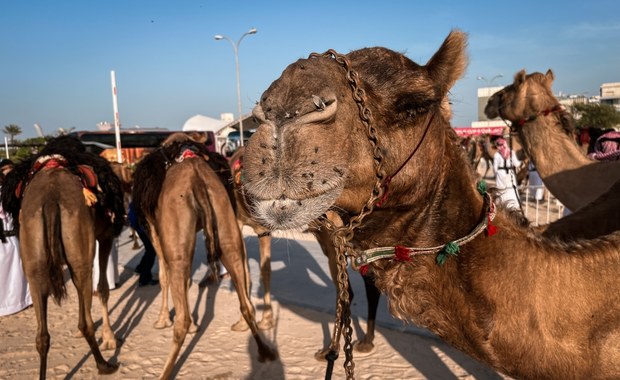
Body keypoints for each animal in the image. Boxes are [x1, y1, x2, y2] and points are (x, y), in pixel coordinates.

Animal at [0, 136, 127, 378]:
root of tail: (51, 197)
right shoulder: (105, 236)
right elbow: (103, 289)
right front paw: (110, 338)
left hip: (33, 254)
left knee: (42, 333)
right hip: (80, 254)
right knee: (85, 316)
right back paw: (104, 364)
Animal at [132, 138, 274, 378]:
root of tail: (196, 180)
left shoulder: (155, 231)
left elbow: (164, 276)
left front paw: (162, 320)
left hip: (177, 232)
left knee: (181, 312)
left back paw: (164, 372)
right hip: (223, 219)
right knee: (245, 298)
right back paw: (265, 351)